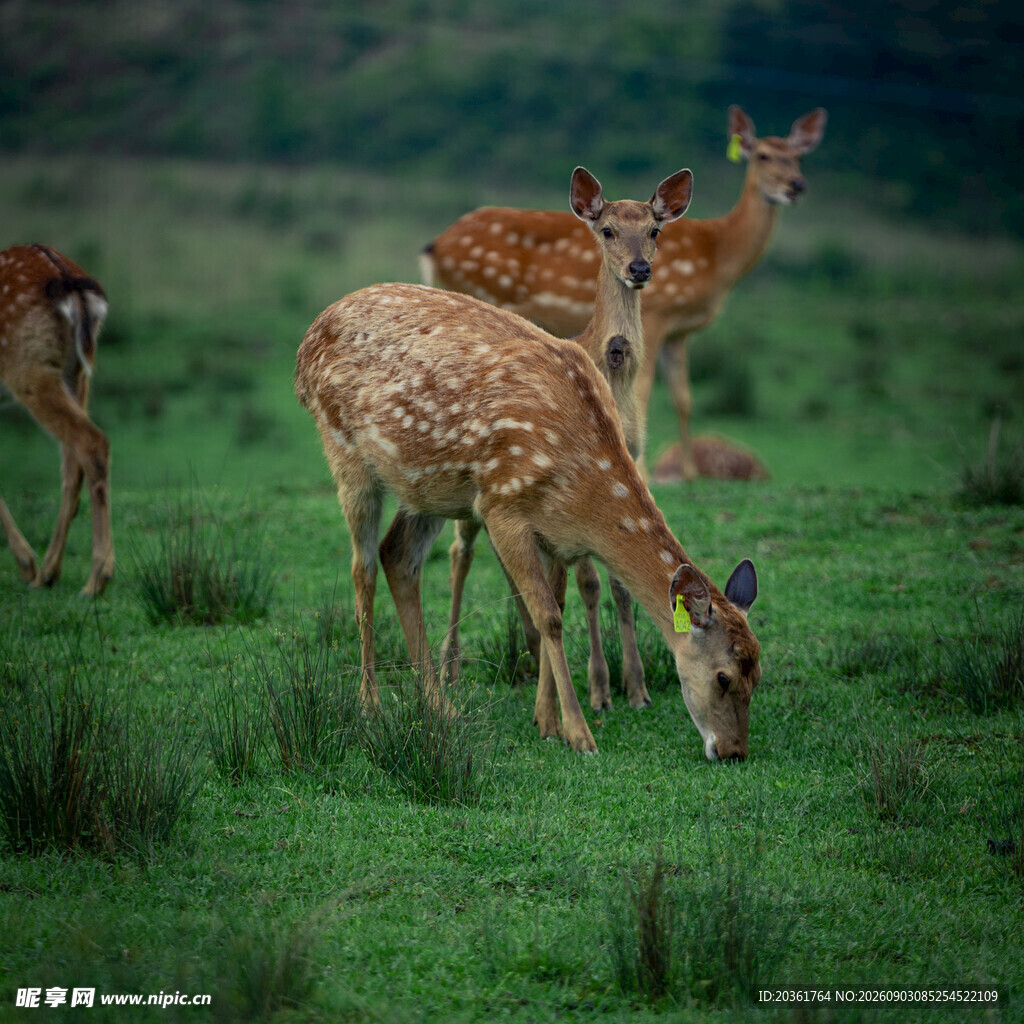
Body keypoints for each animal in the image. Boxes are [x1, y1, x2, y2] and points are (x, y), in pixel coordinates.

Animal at [0, 245, 112, 597]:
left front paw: (24, 562)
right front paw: (28, 564)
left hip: (29, 365)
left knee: (92, 442)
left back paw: (96, 578)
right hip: (76, 371)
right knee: (72, 464)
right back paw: (49, 571)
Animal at [295, 167, 762, 758]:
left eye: (758, 673)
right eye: (723, 676)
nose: (732, 751)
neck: (584, 477)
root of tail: (306, 341)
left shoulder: (554, 531)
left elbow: (554, 602)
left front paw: (548, 719)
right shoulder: (503, 503)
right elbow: (548, 615)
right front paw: (579, 731)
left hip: (427, 484)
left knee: (398, 556)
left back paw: (439, 704)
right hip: (345, 450)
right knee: (362, 567)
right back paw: (372, 703)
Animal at [422, 105, 827, 483]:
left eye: (798, 156)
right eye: (763, 156)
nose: (796, 185)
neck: (718, 257)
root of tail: (434, 246)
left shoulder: (680, 332)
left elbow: (683, 397)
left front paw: (690, 474)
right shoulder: (661, 313)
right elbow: (648, 390)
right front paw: (651, 473)